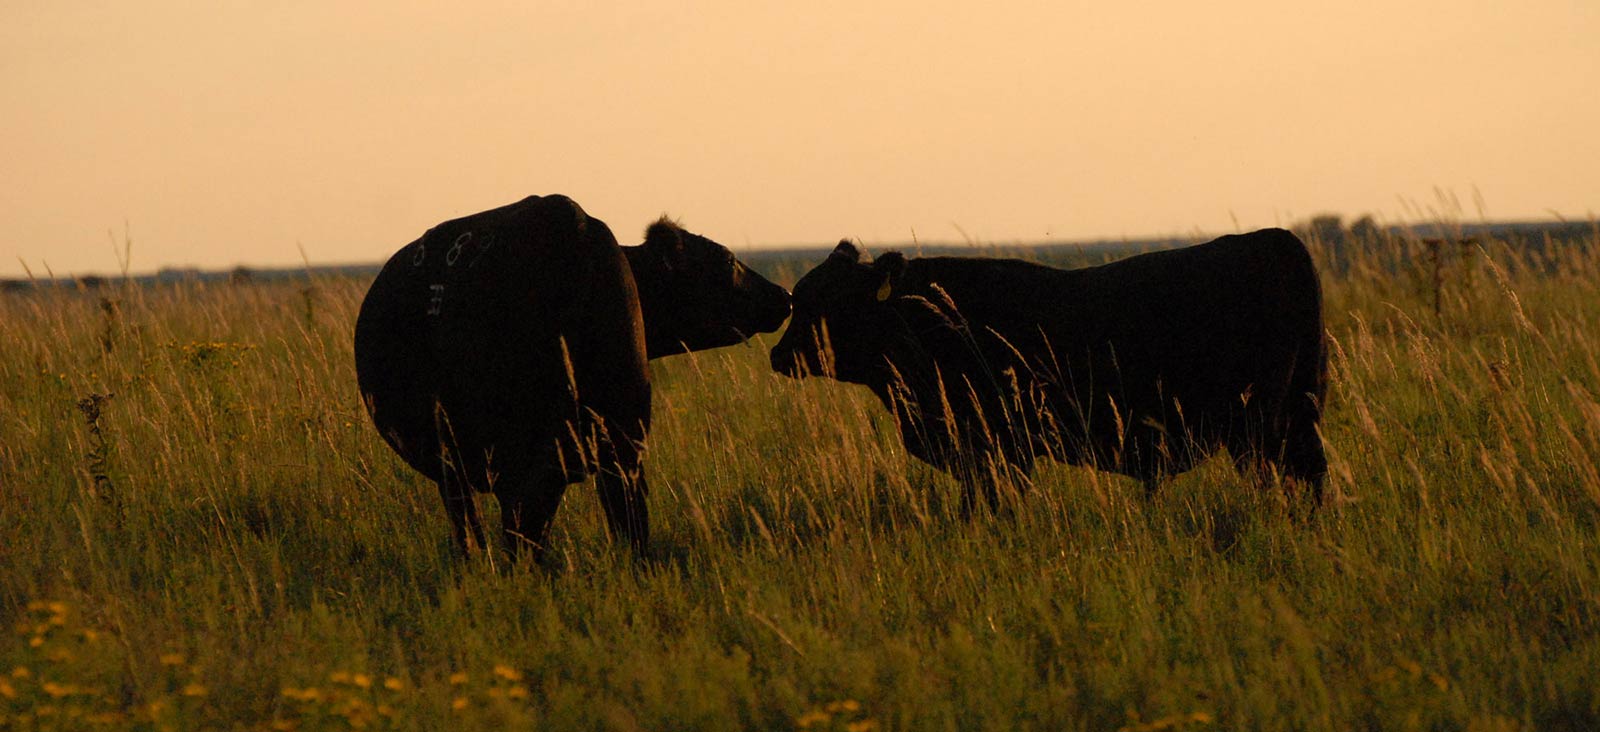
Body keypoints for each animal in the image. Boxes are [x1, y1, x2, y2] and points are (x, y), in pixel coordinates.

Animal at [768, 226, 1331, 508]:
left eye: (826, 301)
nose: (777, 354)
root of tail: (1276, 239)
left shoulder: (997, 450)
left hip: (1260, 428)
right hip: (1294, 419)